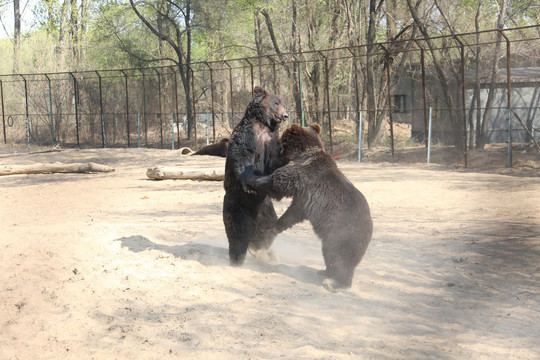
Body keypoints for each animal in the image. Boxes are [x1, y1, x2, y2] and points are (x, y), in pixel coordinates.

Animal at [221, 84, 288, 264]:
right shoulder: (248, 136)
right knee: (238, 226)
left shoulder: (271, 141)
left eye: (283, 103)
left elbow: (274, 160)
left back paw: (261, 250)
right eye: (276, 103)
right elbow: (242, 155)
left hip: (264, 206)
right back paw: (238, 256)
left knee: (267, 225)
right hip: (237, 202)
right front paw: (247, 183)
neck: (263, 125)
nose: (285, 115)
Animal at [248, 124, 372, 290]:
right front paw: (272, 228)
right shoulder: (304, 198)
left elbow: (277, 182)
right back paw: (324, 272)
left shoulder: (303, 175)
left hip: (342, 234)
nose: (275, 143)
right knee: (328, 254)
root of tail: (370, 230)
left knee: (340, 257)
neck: (301, 154)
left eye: (281, 139)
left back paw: (335, 283)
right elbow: (293, 214)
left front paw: (250, 177)